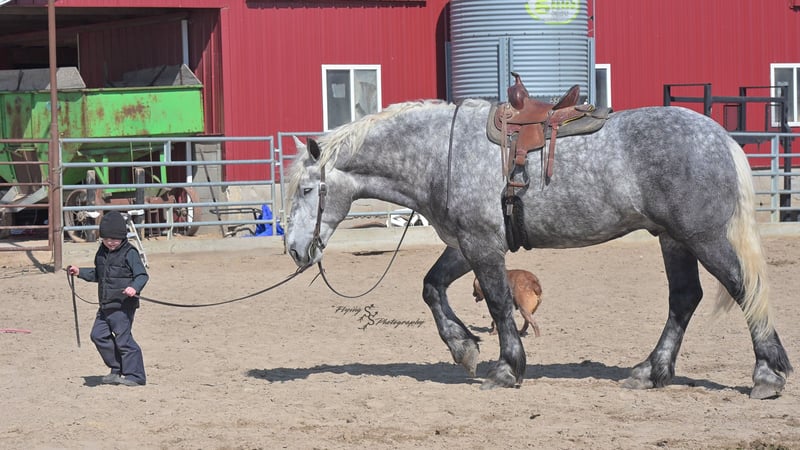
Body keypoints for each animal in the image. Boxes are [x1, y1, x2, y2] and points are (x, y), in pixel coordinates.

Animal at [284, 99, 792, 399]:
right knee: (684, 299)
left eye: (307, 190)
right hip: (673, 239)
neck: (439, 153)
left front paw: (507, 368)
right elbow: (431, 287)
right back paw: (651, 371)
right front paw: (462, 347)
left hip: (703, 236)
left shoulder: (482, 245)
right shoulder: (466, 242)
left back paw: (767, 374)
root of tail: (719, 137)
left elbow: (498, 303)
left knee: (742, 289)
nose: (293, 249)